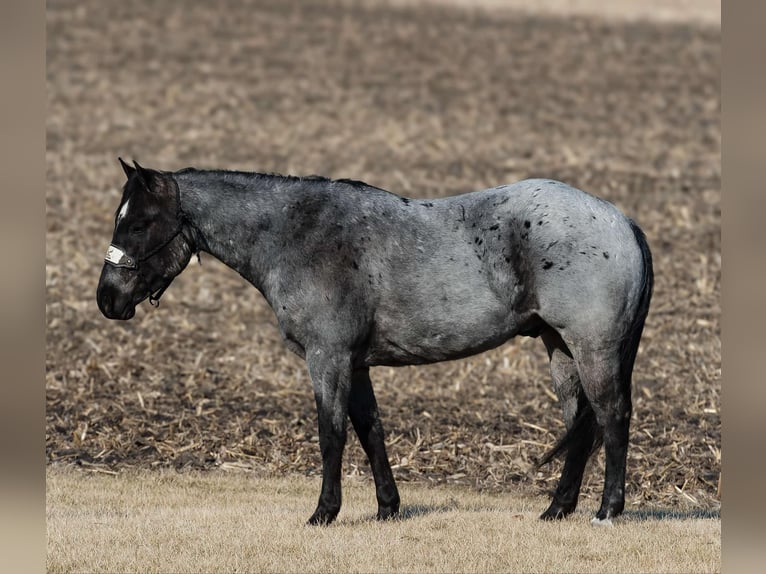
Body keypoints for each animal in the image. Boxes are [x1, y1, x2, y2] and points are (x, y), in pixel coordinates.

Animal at [96, 160, 656, 528]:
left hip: (593, 349)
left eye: (139, 222)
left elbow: (332, 434)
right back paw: (557, 509)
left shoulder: (328, 358)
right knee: (581, 425)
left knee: (612, 417)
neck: (299, 233)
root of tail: (622, 222)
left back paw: (607, 511)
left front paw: (324, 513)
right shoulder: (356, 364)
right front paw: (388, 507)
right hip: (560, 349)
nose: (107, 299)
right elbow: (371, 431)